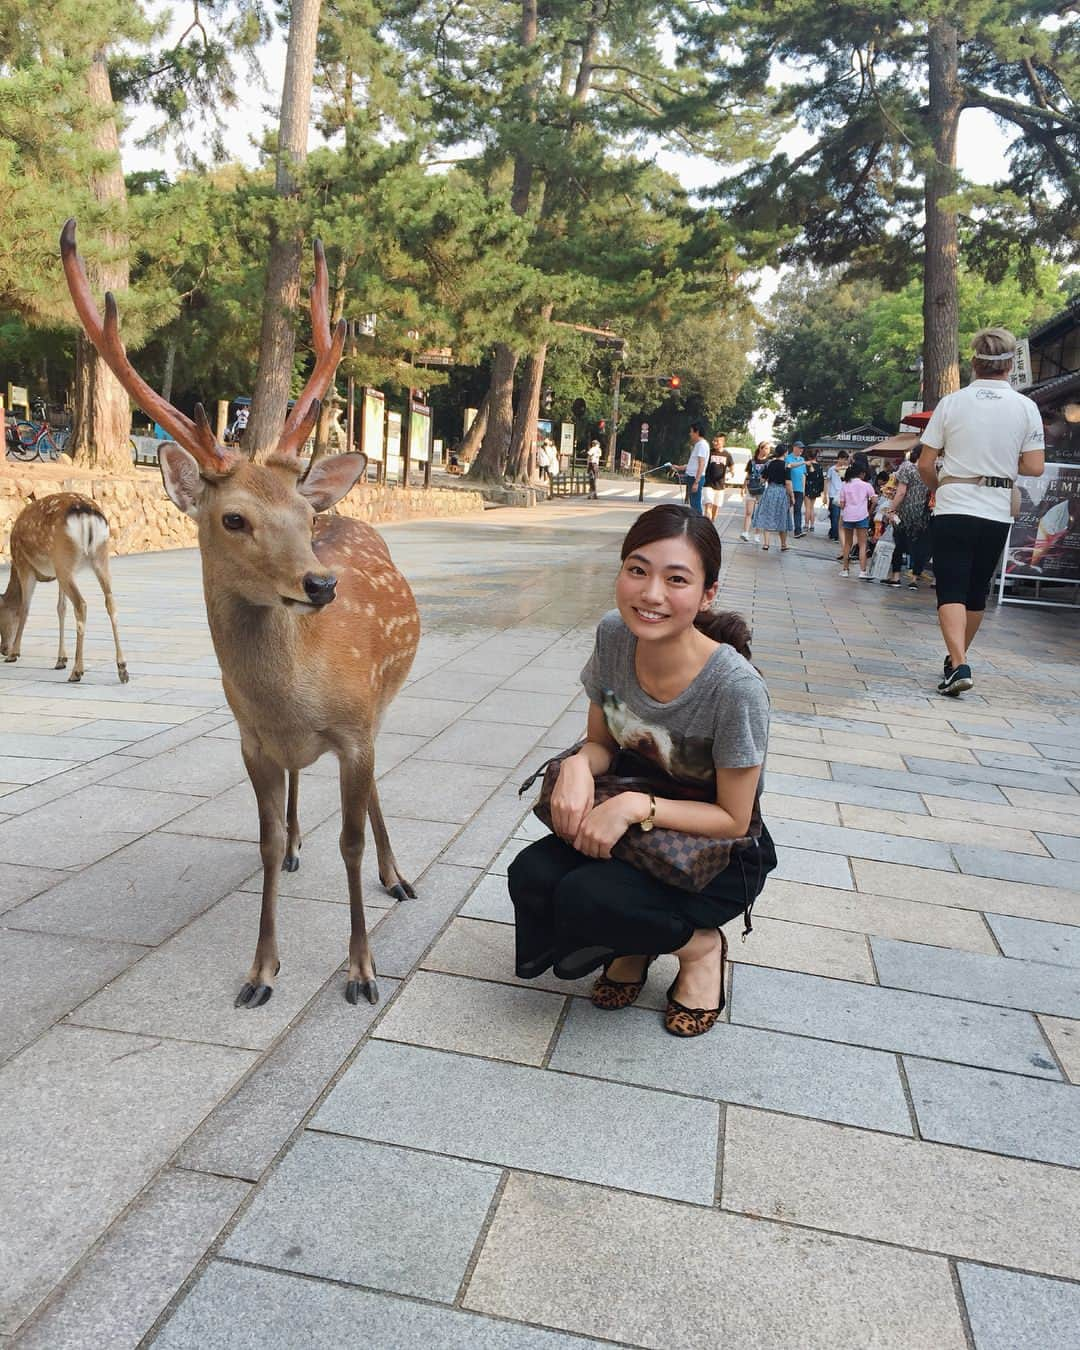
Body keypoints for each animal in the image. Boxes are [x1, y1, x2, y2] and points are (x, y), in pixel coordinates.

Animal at [0, 494, 128, 685]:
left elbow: (25, 608)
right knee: (110, 602)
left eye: (0, 617)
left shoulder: (24, 564)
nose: (3, 649)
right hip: (99, 556)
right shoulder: (58, 572)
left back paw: (77, 671)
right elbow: (61, 609)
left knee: (81, 604)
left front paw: (14, 653)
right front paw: (61, 659)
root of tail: (87, 513)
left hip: (64, 559)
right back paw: (122, 669)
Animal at [60, 218, 421, 1004]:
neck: (293, 698)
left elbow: (350, 838)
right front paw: (261, 971)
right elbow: (262, 837)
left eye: (303, 514)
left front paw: (361, 969)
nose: (320, 585)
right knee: (296, 801)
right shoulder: (251, 741)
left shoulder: (354, 728)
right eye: (234, 518)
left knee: (375, 790)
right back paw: (299, 848)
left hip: (383, 702)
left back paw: (398, 875)